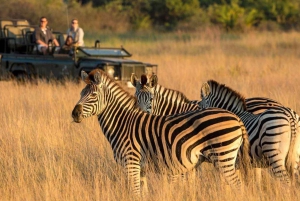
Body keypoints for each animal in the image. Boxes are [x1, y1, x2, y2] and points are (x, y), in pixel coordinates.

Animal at [72, 70, 251, 196]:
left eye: (93, 95)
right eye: (80, 94)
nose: (74, 114)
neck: (123, 123)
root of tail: (236, 117)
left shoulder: (131, 163)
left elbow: (134, 194)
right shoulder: (141, 169)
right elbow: (142, 194)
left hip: (223, 157)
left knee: (239, 187)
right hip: (229, 158)